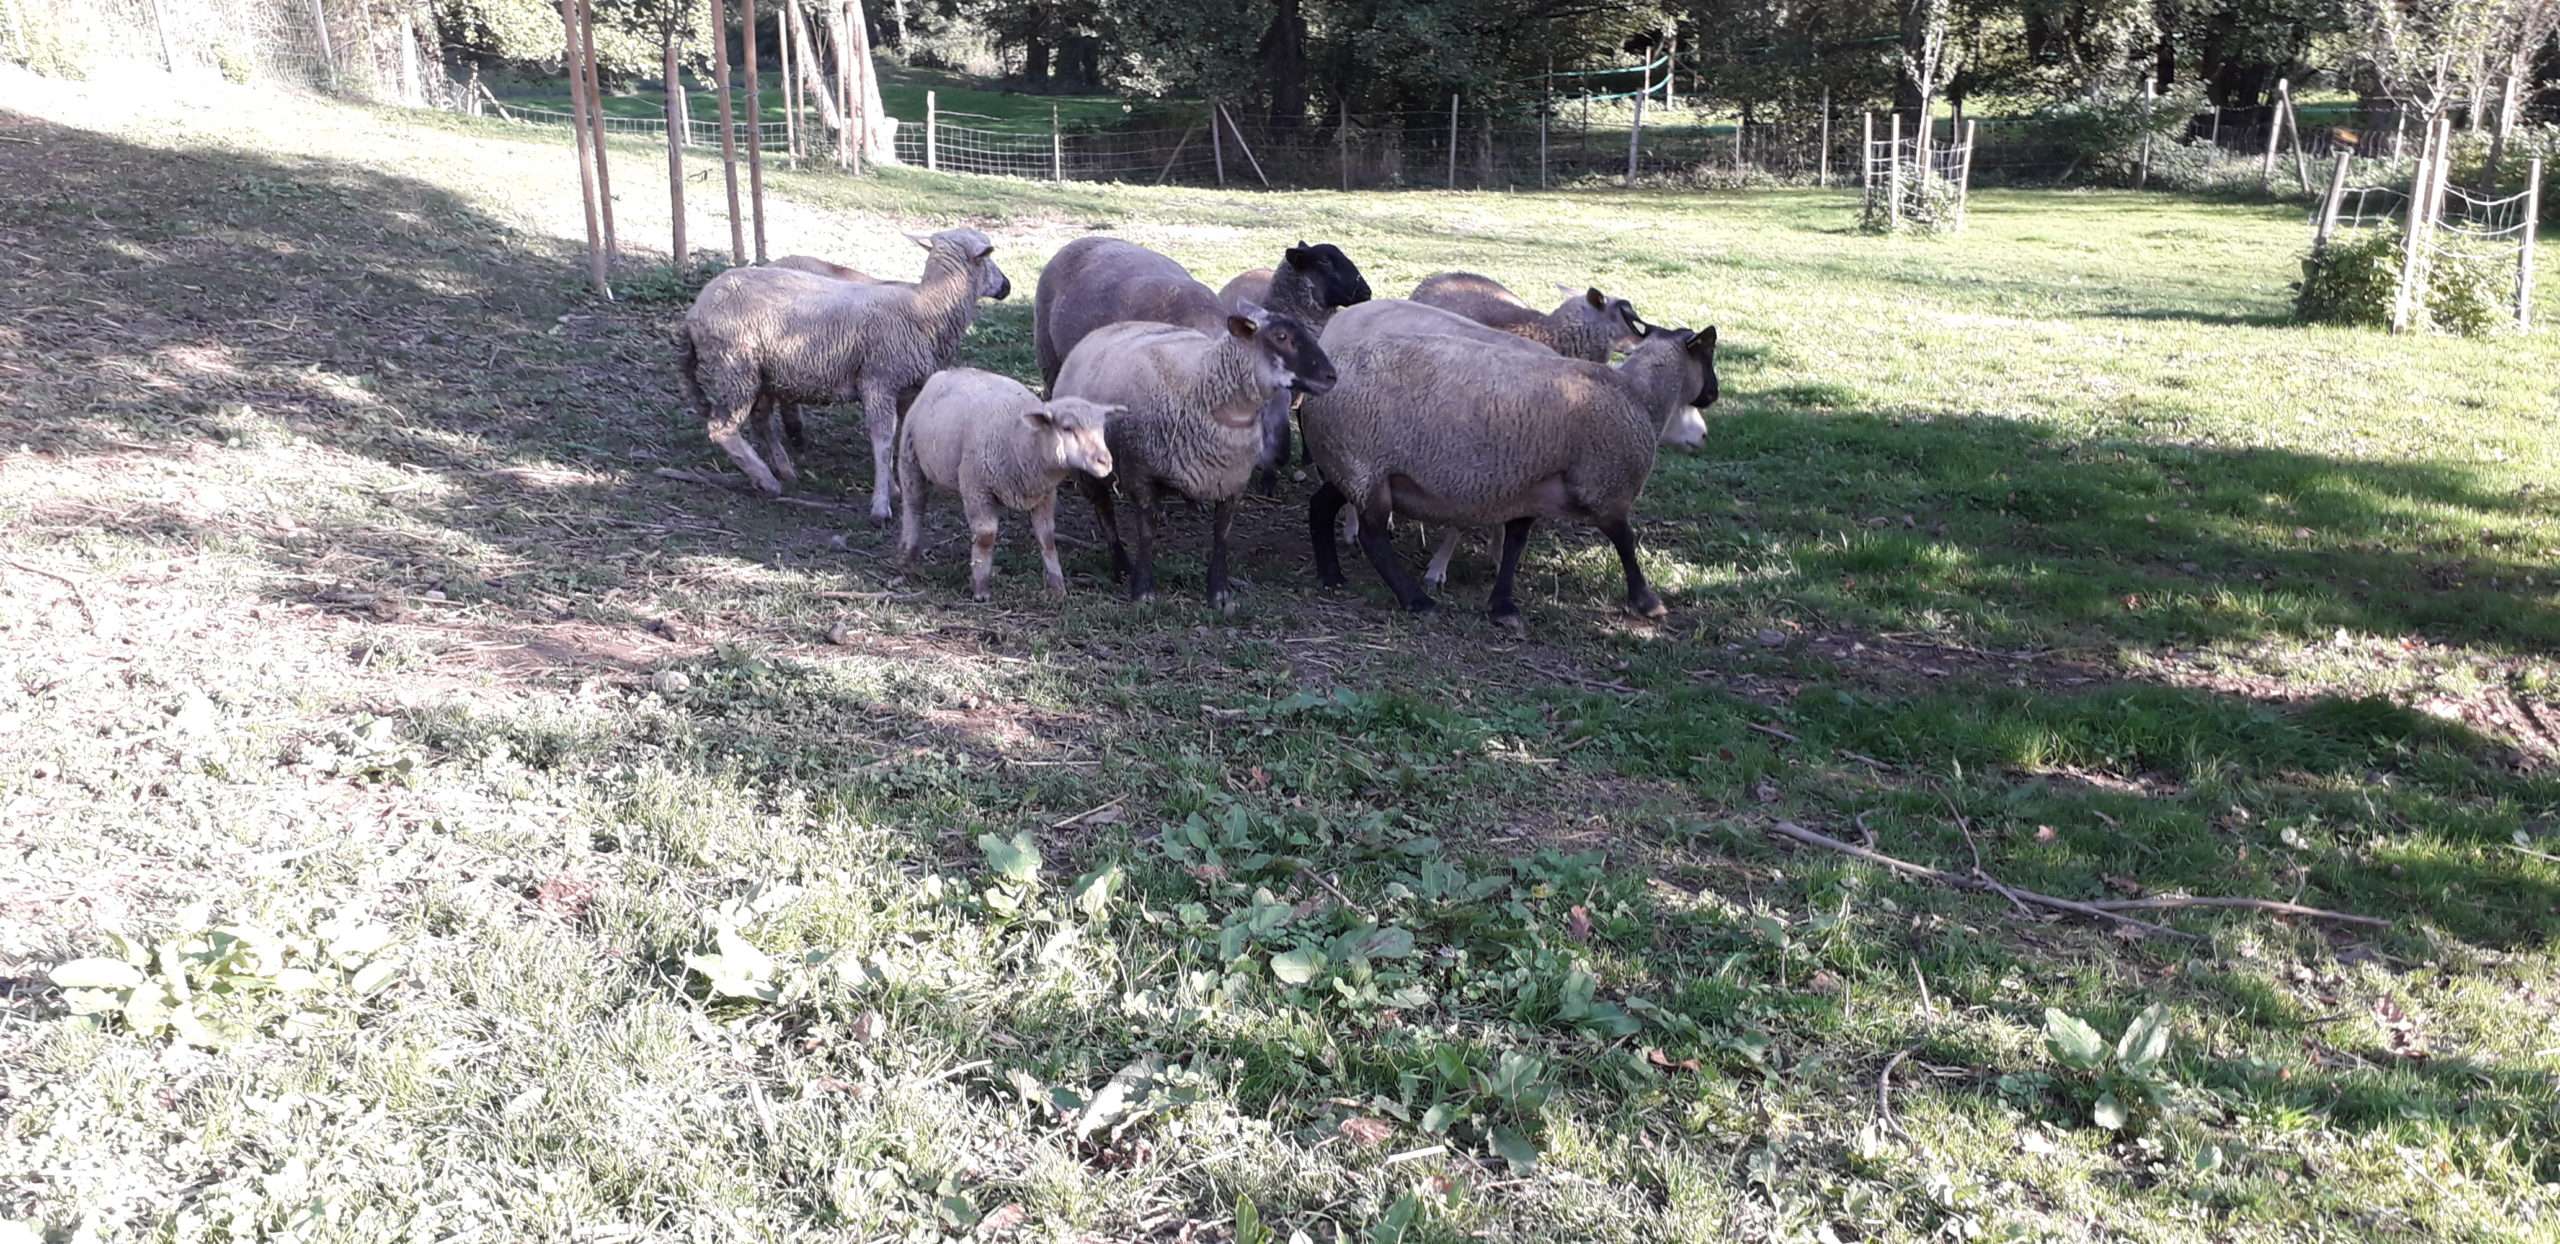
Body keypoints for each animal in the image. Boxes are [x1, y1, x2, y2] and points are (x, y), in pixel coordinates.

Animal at [677, 227, 1010, 522]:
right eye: (988, 256)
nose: (1006, 285)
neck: (925, 307)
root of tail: (694, 312)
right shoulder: (878, 381)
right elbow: (882, 440)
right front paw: (881, 505)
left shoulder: (908, 389)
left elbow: (900, 438)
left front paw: (895, 486)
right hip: (735, 369)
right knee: (722, 429)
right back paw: (767, 479)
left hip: (759, 374)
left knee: (760, 421)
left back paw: (782, 468)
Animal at [895, 368, 1118, 601]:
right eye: (1067, 428)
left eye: (1102, 430)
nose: (1105, 461)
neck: (1022, 439)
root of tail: (946, 372)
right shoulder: (977, 488)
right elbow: (986, 536)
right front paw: (981, 589)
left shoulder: (1046, 494)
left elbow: (1047, 537)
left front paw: (1057, 588)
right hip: (909, 457)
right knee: (914, 505)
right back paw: (907, 556)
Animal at [1052, 303, 1336, 611]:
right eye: (1281, 336)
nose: (1332, 376)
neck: (1203, 384)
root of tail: (1106, 328)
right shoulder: (1141, 474)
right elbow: (1146, 532)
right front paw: (1143, 590)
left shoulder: (1233, 480)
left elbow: (1221, 535)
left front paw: (1219, 593)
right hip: (1090, 470)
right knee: (1105, 513)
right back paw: (1121, 564)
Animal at [1298, 322, 1720, 628]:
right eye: (1708, 355)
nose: (1713, 394)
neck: (1638, 396)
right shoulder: (1605, 488)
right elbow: (1626, 542)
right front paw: (1647, 602)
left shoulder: (1530, 489)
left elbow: (1515, 544)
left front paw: (1503, 606)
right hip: (1365, 469)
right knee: (1372, 536)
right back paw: (1416, 600)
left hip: (1354, 466)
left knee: (1320, 506)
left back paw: (1331, 575)